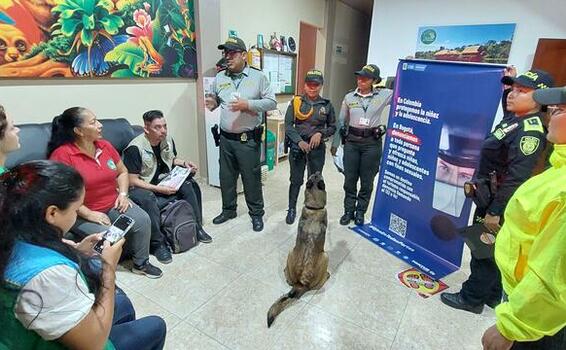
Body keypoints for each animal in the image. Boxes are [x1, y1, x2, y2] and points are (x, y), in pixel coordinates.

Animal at [268, 172, 330, 328]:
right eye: (317, 176)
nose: (317, 171)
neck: (314, 208)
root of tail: (301, 283)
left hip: (291, 252)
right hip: (326, 256)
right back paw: (327, 275)